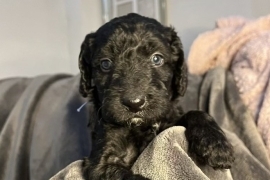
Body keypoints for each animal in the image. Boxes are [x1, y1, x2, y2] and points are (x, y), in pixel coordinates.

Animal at [78, 13, 234, 179]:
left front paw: (217, 145)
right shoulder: (102, 160)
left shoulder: (169, 122)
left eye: (156, 59)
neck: (142, 126)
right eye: (105, 64)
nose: (134, 103)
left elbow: (195, 113)